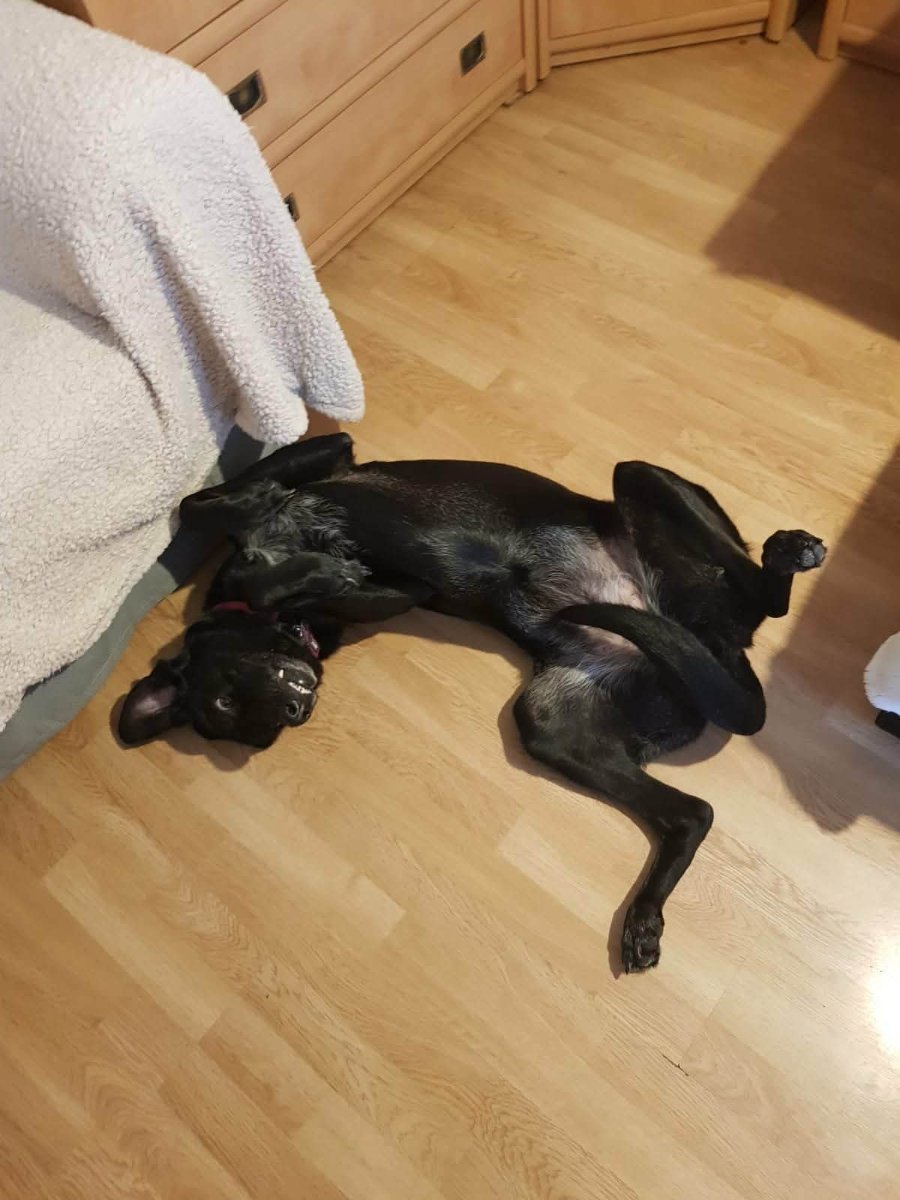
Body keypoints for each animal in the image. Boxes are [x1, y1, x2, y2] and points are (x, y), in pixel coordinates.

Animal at [119, 433, 825, 971]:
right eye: (236, 719)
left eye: (223, 701)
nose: (294, 711)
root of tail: (716, 646)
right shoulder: (398, 592)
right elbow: (290, 577)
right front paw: (309, 575)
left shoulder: (324, 458)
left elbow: (204, 507)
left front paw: (290, 558)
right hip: (549, 720)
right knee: (690, 814)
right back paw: (644, 921)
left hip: (643, 480)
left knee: (761, 593)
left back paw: (789, 553)